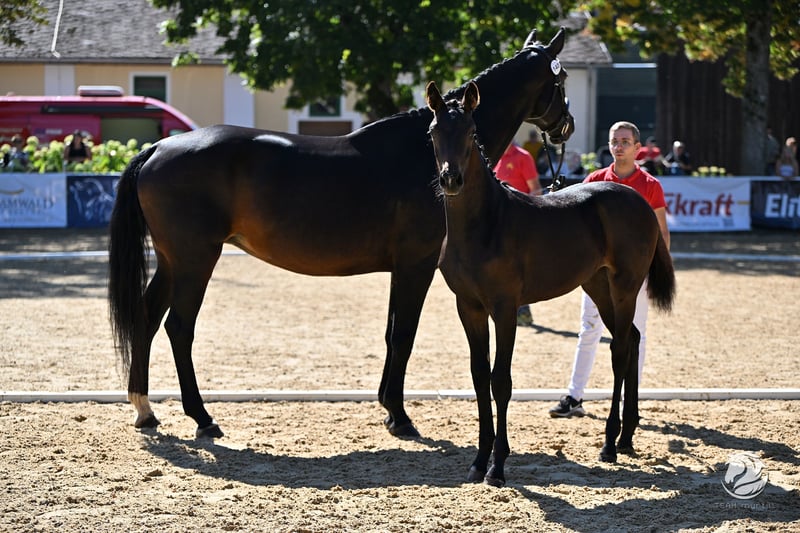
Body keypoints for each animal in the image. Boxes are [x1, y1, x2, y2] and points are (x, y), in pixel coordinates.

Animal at [108, 28, 575, 439]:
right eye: (562, 77)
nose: (567, 125)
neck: (425, 157)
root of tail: (158, 148)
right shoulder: (418, 264)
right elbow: (403, 334)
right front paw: (400, 417)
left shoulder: (401, 268)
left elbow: (391, 333)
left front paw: (388, 407)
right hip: (195, 260)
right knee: (179, 328)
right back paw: (203, 418)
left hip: (172, 261)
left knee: (148, 318)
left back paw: (145, 410)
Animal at [425, 81, 675, 486]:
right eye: (433, 132)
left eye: (471, 132)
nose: (451, 180)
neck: (484, 224)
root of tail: (638, 201)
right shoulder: (469, 307)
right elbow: (479, 377)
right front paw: (478, 462)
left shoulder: (504, 307)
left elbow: (500, 380)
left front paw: (497, 466)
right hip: (597, 286)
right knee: (633, 340)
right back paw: (626, 437)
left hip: (625, 285)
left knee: (621, 349)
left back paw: (609, 443)